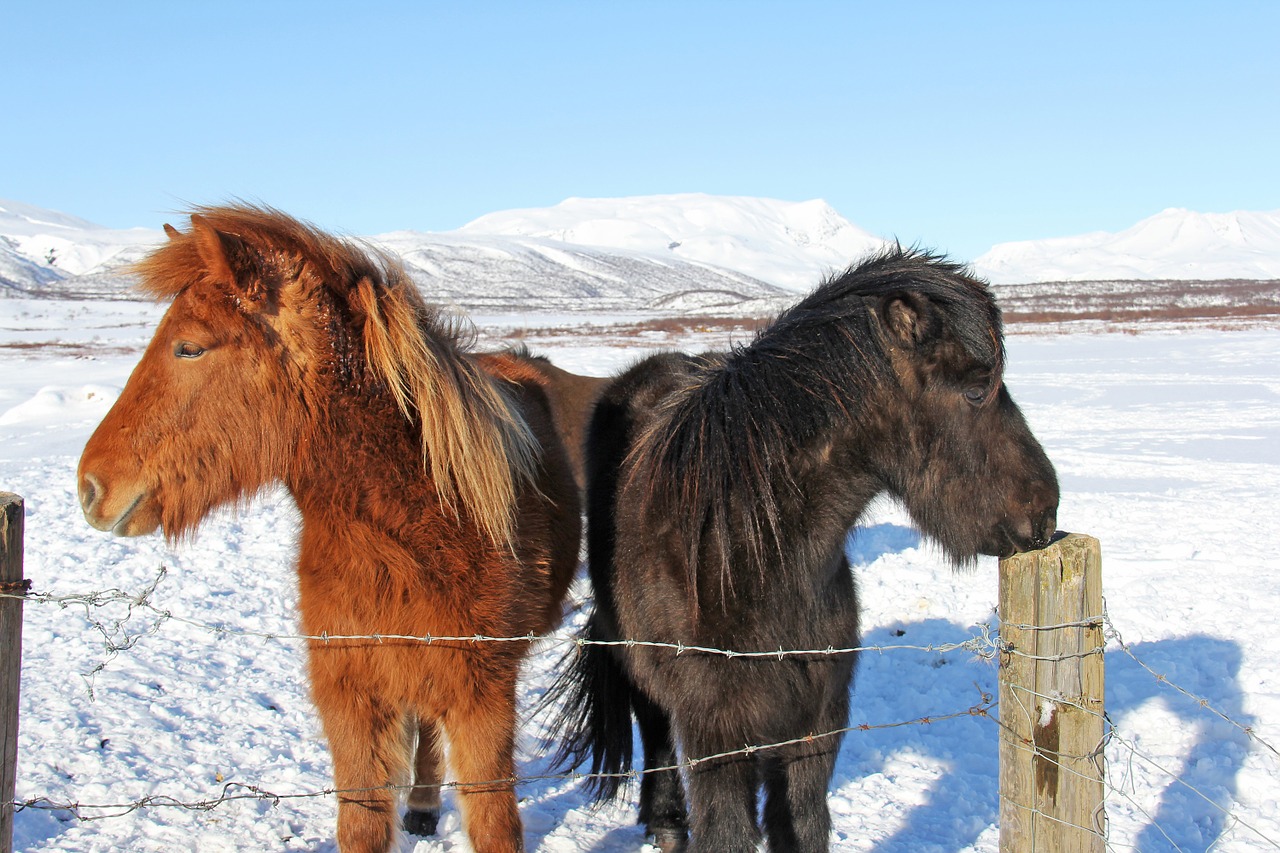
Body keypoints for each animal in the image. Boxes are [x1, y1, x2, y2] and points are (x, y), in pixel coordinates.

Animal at [72, 206, 583, 850]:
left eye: (189, 348)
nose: (90, 487)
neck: (410, 534)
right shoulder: (349, 696)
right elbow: (361, 822)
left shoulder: (481, 696)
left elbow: (494, 822)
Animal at [550, 245, 1059, 850]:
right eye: (977, 390)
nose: (1046, 513)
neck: (747, 558)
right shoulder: (718, 738)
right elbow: (728, 833)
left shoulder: (816, 730)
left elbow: (804, 824)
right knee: (652, 726)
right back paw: (667, 820)